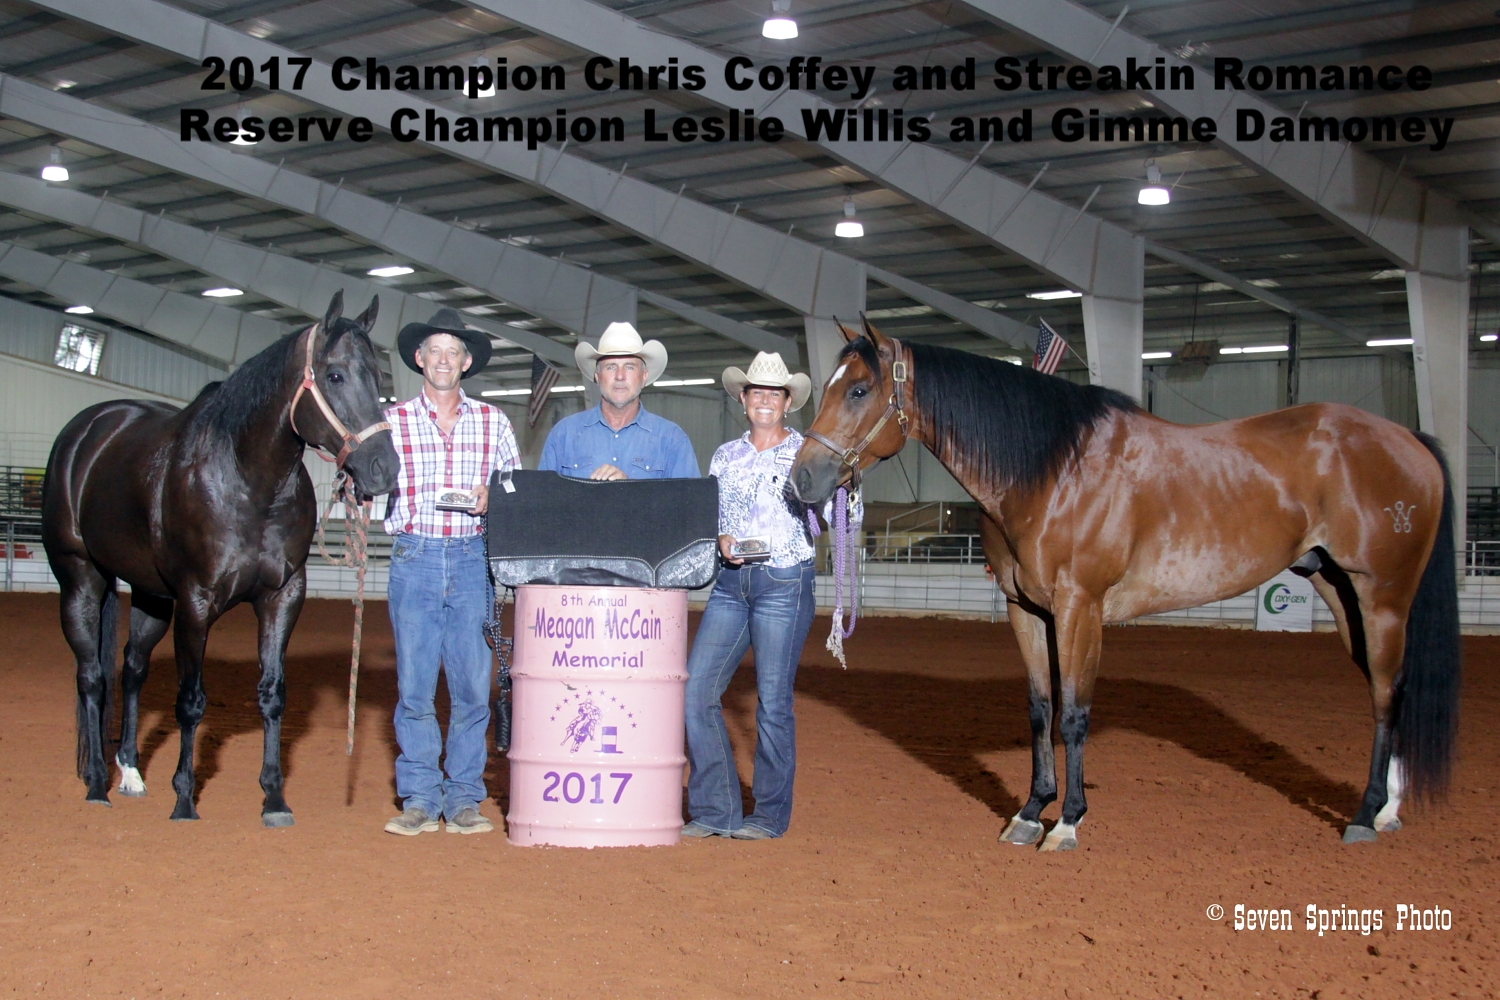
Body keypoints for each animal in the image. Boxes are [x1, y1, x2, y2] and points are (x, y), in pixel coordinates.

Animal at [43, 290, 402, 827]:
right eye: (335, 374)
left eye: (379, 377)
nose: (384, 468)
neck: (248, 482)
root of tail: (86, 430)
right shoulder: (196, 602)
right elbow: (191, 701)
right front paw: (184, 799)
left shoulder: (282, 597)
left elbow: (272, 695)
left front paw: (274, 799)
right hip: (80, 578)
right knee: (92, 676)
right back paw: (95, 785)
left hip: (151, 595)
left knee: (131, 669)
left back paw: (129, 774)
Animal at [792, 320, 1458, 851]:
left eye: (858, 390)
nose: (800, 479)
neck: (1051, 470)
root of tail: (1410, 440)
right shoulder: (1026, 610)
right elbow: (1039, 709)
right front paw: (1029, 811)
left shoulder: (1079, 609)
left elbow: (1074, 714)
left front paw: (1068, 821)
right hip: (1343, 598)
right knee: (1387, 688)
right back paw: (1390, 809)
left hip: (1383, 599)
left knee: (1387, 694)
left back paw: (1366, 815)